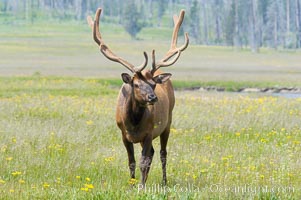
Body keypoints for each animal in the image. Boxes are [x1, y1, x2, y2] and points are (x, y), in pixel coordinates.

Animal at [86, 7, 189, 186]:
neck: (133, 123)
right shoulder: (123, 134)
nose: (153, 98)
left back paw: (164, 181)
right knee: (153, 153)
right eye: (135, 84)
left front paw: (141, 186)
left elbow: (143, 162)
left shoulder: (148, 132)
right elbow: (132, 161)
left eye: (153, 84)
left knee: (162, 153)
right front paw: (133, 183)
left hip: (167, 123)